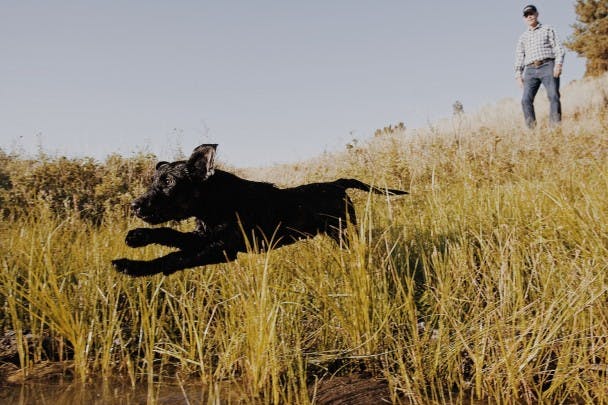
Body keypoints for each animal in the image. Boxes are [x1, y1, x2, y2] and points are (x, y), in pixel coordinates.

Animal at [113, 144, 408, 276]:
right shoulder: (205, 237)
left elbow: (176, 257)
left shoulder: (223, 248)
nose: (135, 206)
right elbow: (171, 237)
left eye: (169, 182)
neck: (215, 202)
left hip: (343, 232)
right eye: (154, 181)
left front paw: (133, 266)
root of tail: (337, 183)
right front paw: (137, 237)